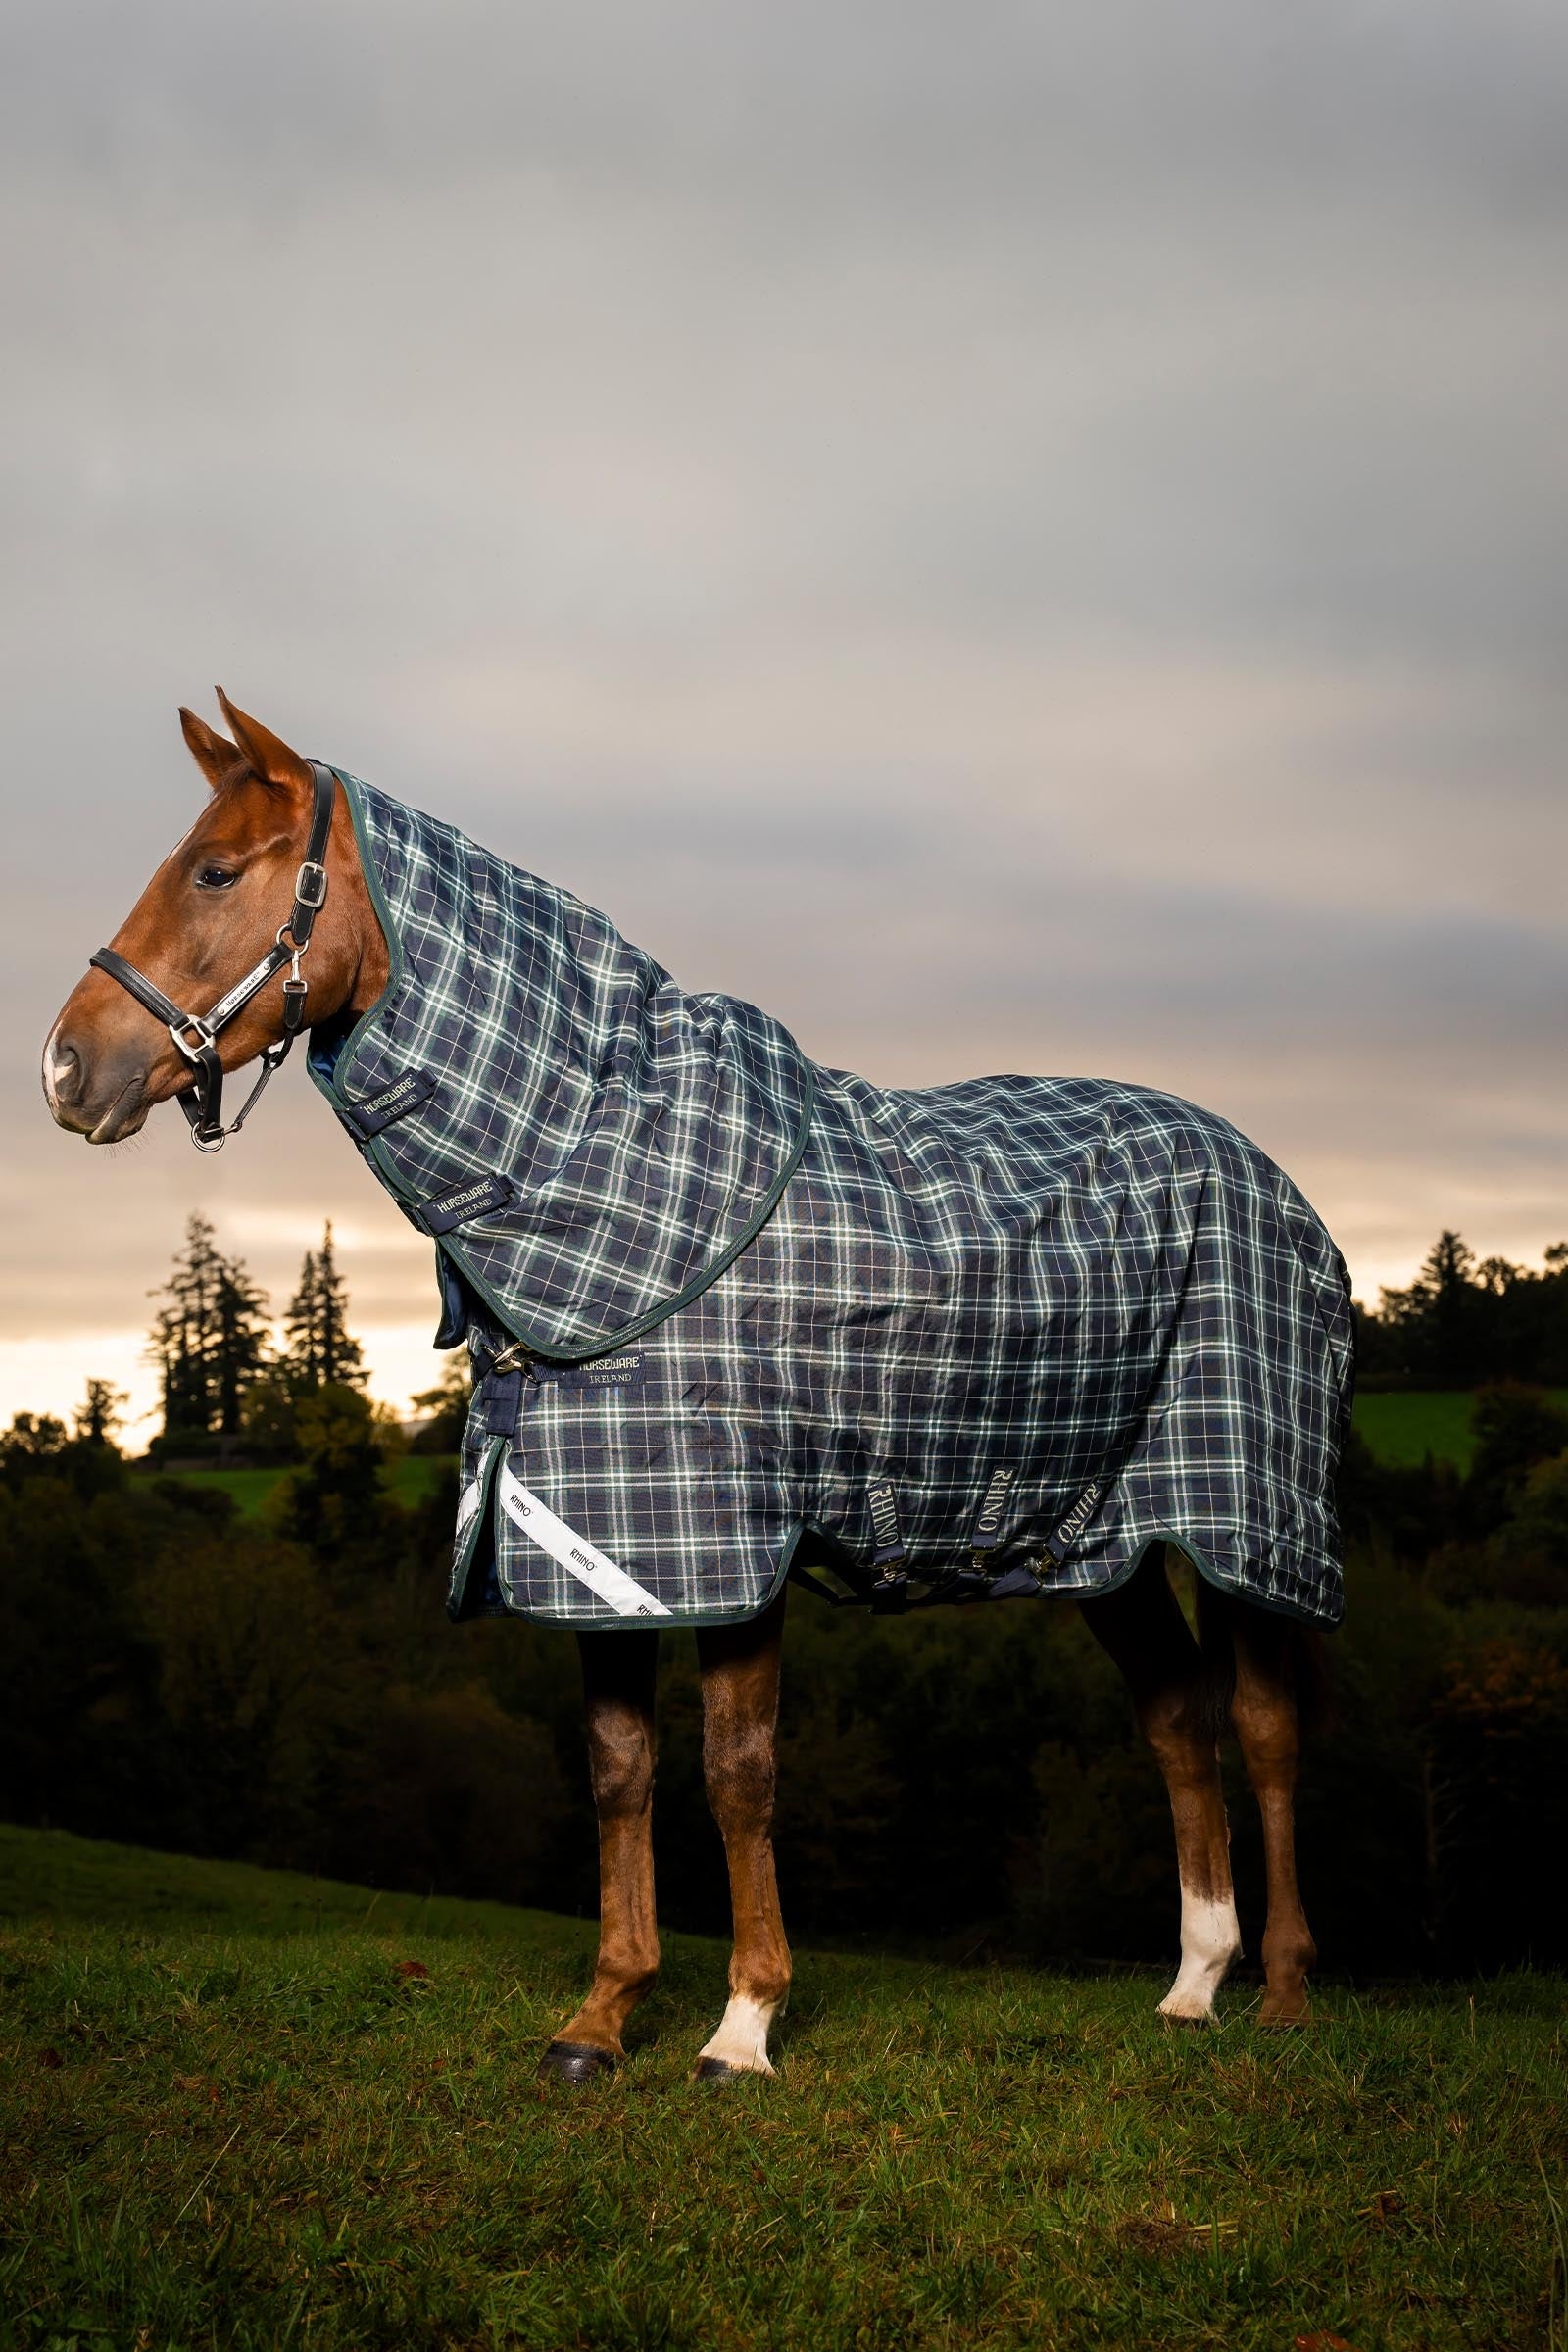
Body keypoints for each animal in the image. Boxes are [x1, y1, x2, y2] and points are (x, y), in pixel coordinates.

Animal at [45, 693, 1348, 2080]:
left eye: (214, 872)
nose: (65, 1069)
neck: (609, 1179)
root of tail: (1269, 1177)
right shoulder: (593, 1547)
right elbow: (619, 1771)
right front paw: (602, 2017)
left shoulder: (733, 1549)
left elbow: (735, 1773)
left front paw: (743, 2024)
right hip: (1095, 1537)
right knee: (1177, 1719)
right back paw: (1191, 1986)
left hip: (1248, 1520)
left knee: (1265, 1728)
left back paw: (1279, 1992)